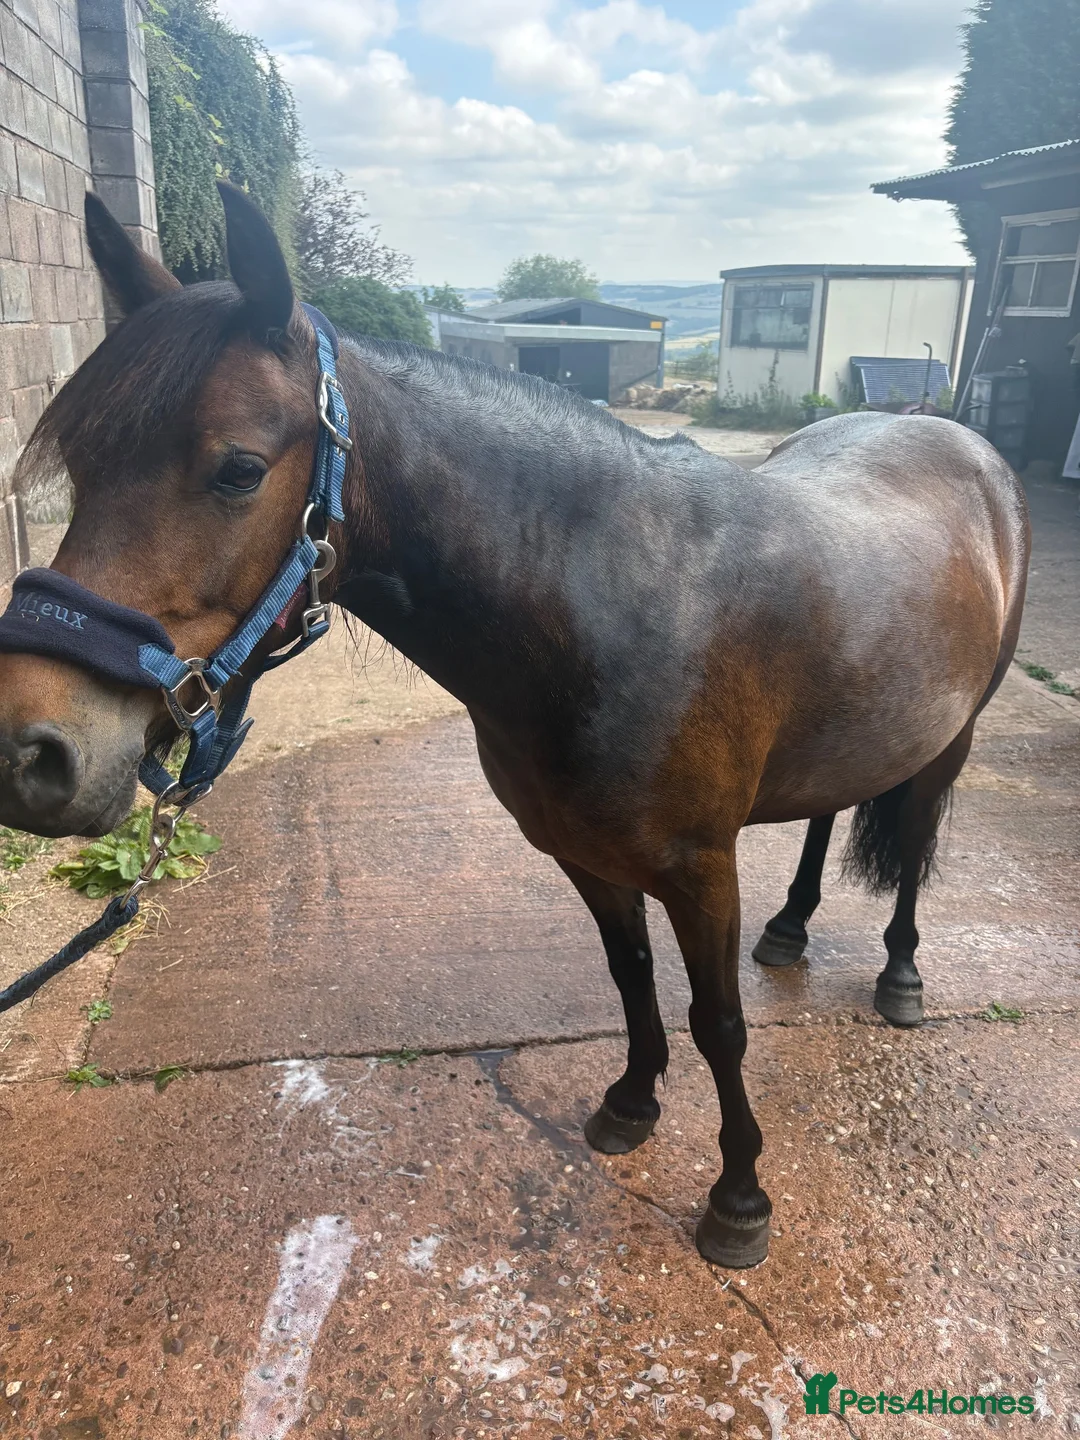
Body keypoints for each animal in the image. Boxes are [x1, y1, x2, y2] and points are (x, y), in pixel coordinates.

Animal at [0, 185, 1030, 1268]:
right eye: (81, 463)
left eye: (238, 469)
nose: (33, 752)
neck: (616, 605)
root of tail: (961, 443)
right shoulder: (585, 855)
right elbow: (630, 978)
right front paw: (630, 1104)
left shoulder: (701, 869)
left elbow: (719, 1024)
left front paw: (740, 1198)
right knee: (831, 809)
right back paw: (790, 930)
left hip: (954, 738)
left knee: (914, 839)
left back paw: (903, 976)